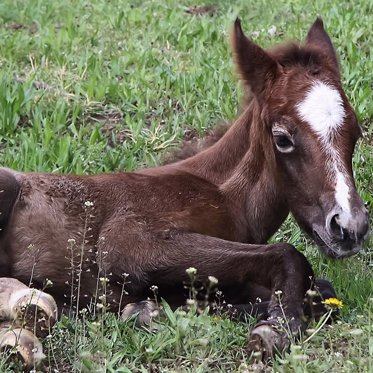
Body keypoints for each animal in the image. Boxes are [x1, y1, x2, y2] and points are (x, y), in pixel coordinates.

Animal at [0, 17, 368, 364]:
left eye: (356, 131)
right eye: (282, 138)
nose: (350, 226)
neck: (223, 194)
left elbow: (321, 292)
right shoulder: (127, 243)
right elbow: (288, 255)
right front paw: (274, 329)